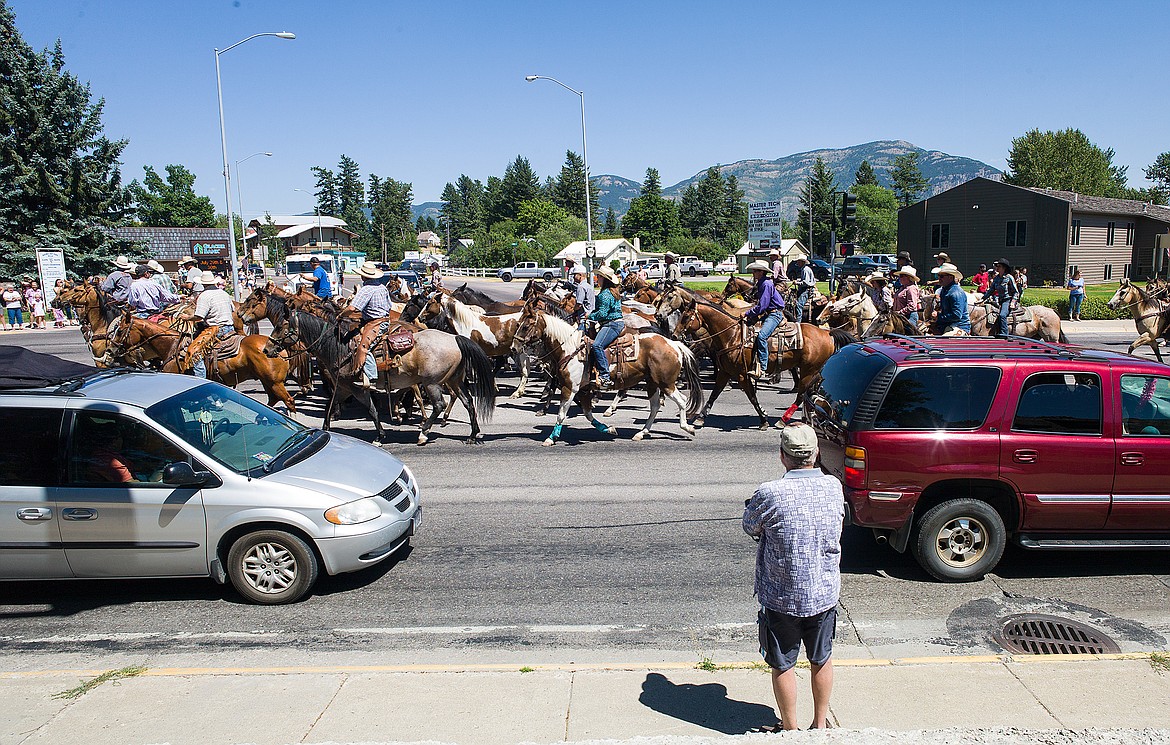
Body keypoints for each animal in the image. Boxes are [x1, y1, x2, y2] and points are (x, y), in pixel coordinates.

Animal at [100, 308, 299, 411]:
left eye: (119, 330)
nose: (110, 349)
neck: (171, 346)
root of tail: (279, 349)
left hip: (274, 382)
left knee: (288, 401)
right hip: (267, 381)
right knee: (273, 400)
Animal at [264, 306, 493, 442]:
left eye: (280, 326)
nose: (266, 349)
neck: (340, 348)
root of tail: (455, 339)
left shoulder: (357, 389)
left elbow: (372, 410)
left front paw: (380, 435)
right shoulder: (343, 388)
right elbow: (330, 406)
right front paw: (325, 429)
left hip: (432, 383)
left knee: (439, 405)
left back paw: (423, 434)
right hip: (454, 380)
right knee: (468, 402)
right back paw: (473, 434)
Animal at [514, 299, 702, 444]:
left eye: (526, 326)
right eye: (518, 324)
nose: (515, 346)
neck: (570, 348)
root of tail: (673, 344)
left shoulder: (570, 388)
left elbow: (561, 414)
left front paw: (551, 438)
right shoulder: (583, 390)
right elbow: (588, 414)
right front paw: (608, 429)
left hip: (666, 383)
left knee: (682, 400)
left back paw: (687, 427)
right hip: (652, 383)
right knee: (654, 407)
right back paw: (641, 433)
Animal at [659, 283, 851, 428]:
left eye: (686, 317)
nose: (674, 335)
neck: (732, 335)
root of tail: (827, 333)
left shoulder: (742, 374)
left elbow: (752, 396)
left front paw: (764, 419)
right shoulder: (725, 371)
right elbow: (715, 393)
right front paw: (700, 417)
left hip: (809, 371)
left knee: (802, 394)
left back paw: (783, 420)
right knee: (809, 393)